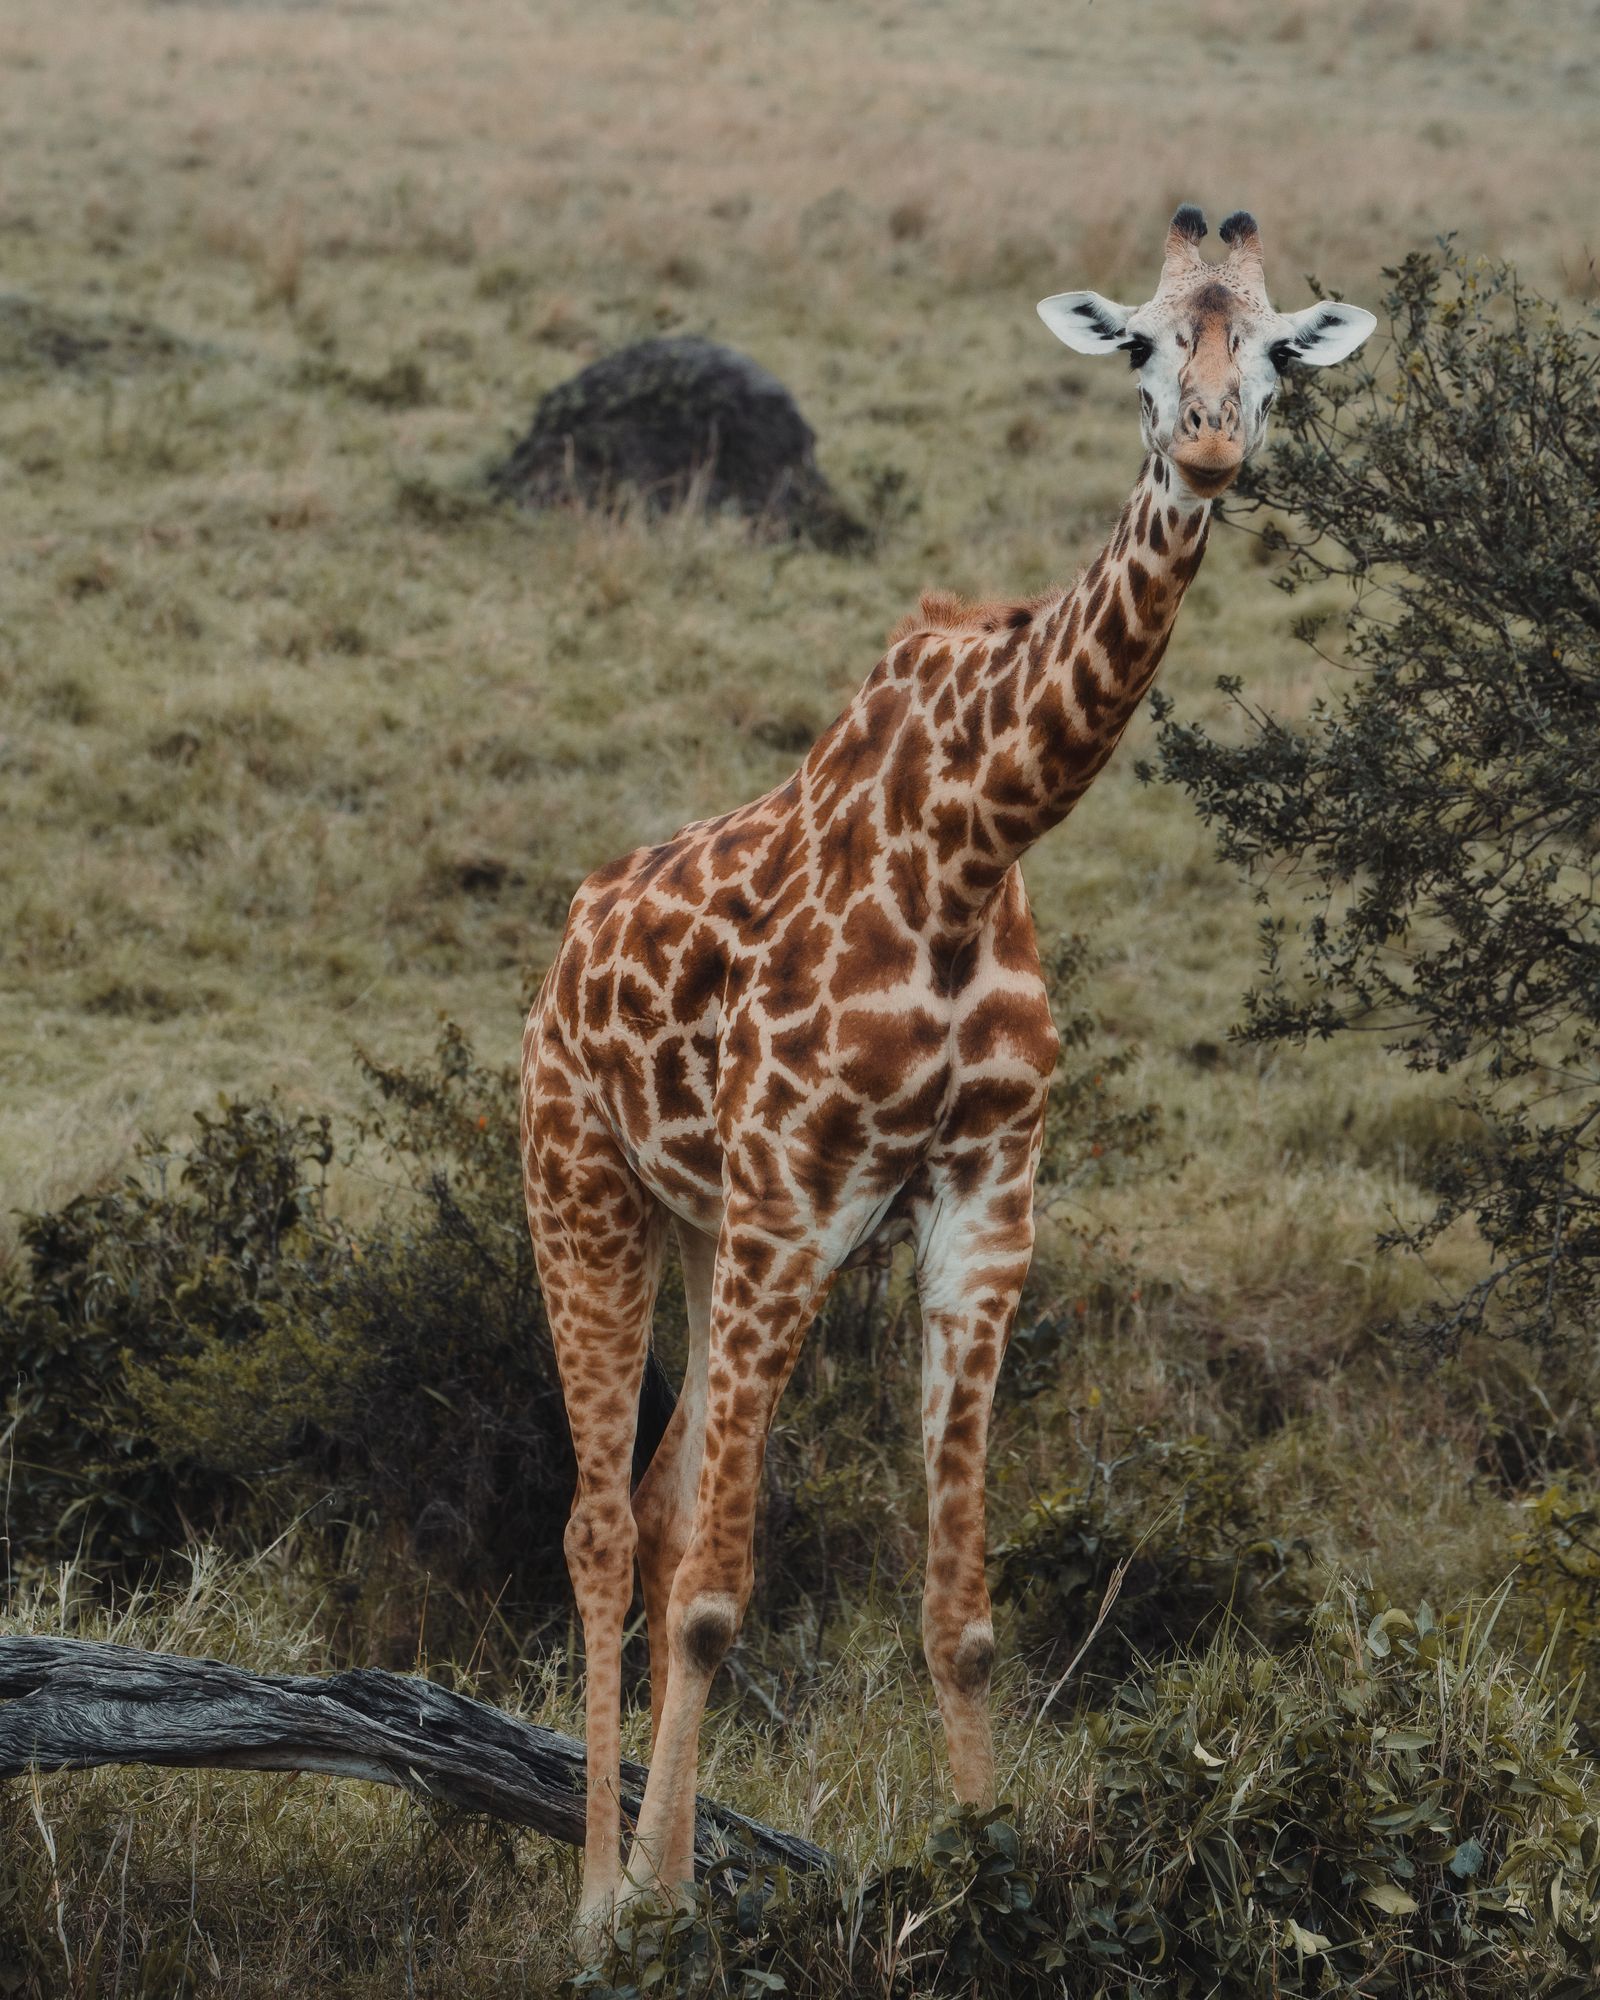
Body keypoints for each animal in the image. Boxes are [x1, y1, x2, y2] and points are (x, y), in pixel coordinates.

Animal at [520, 205, 1375, 1938]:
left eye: (1271, 349)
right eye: (1140, 344)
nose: (1207, 443)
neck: (975, 845)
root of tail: (564, 950)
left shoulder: (984, 1204)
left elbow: (961, 1611)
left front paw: (994, 1883)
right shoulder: (797, 1198)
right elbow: (715, 1597)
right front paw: (661, 1919)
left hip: (704, 1229)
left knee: (657, 1505)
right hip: (585, 1192)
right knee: (603, 1526)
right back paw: (594, 1898)